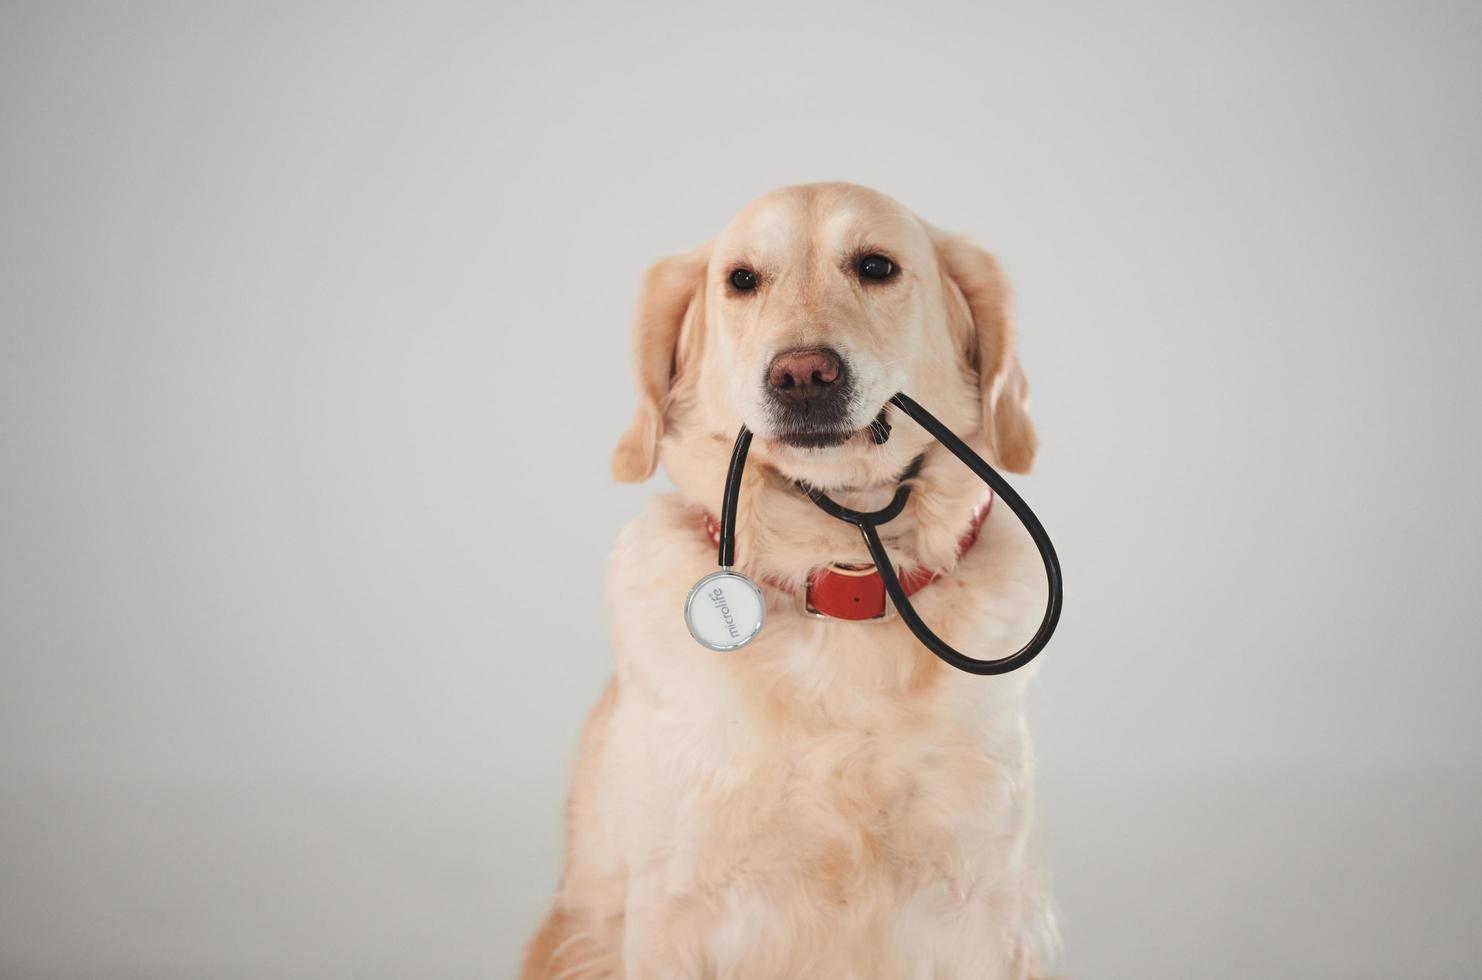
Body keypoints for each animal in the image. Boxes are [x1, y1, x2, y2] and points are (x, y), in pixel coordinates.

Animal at [521, 183, 1055, 978]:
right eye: (742, 279)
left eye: (876, 266)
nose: (803, 374)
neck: (842, 575)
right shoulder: (673, 908)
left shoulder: (984, 907)